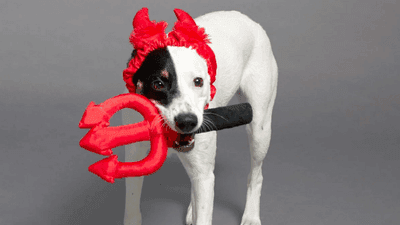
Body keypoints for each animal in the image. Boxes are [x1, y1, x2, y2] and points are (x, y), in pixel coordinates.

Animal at [122, 8, 278, 225]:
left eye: (198, 81)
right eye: (158, 84)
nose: (188, 122)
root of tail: (244, 17)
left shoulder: (204, 175)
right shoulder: (134, 163)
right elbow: (131, 208)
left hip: (259, 130)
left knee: (256, 175)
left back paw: (251, 216)